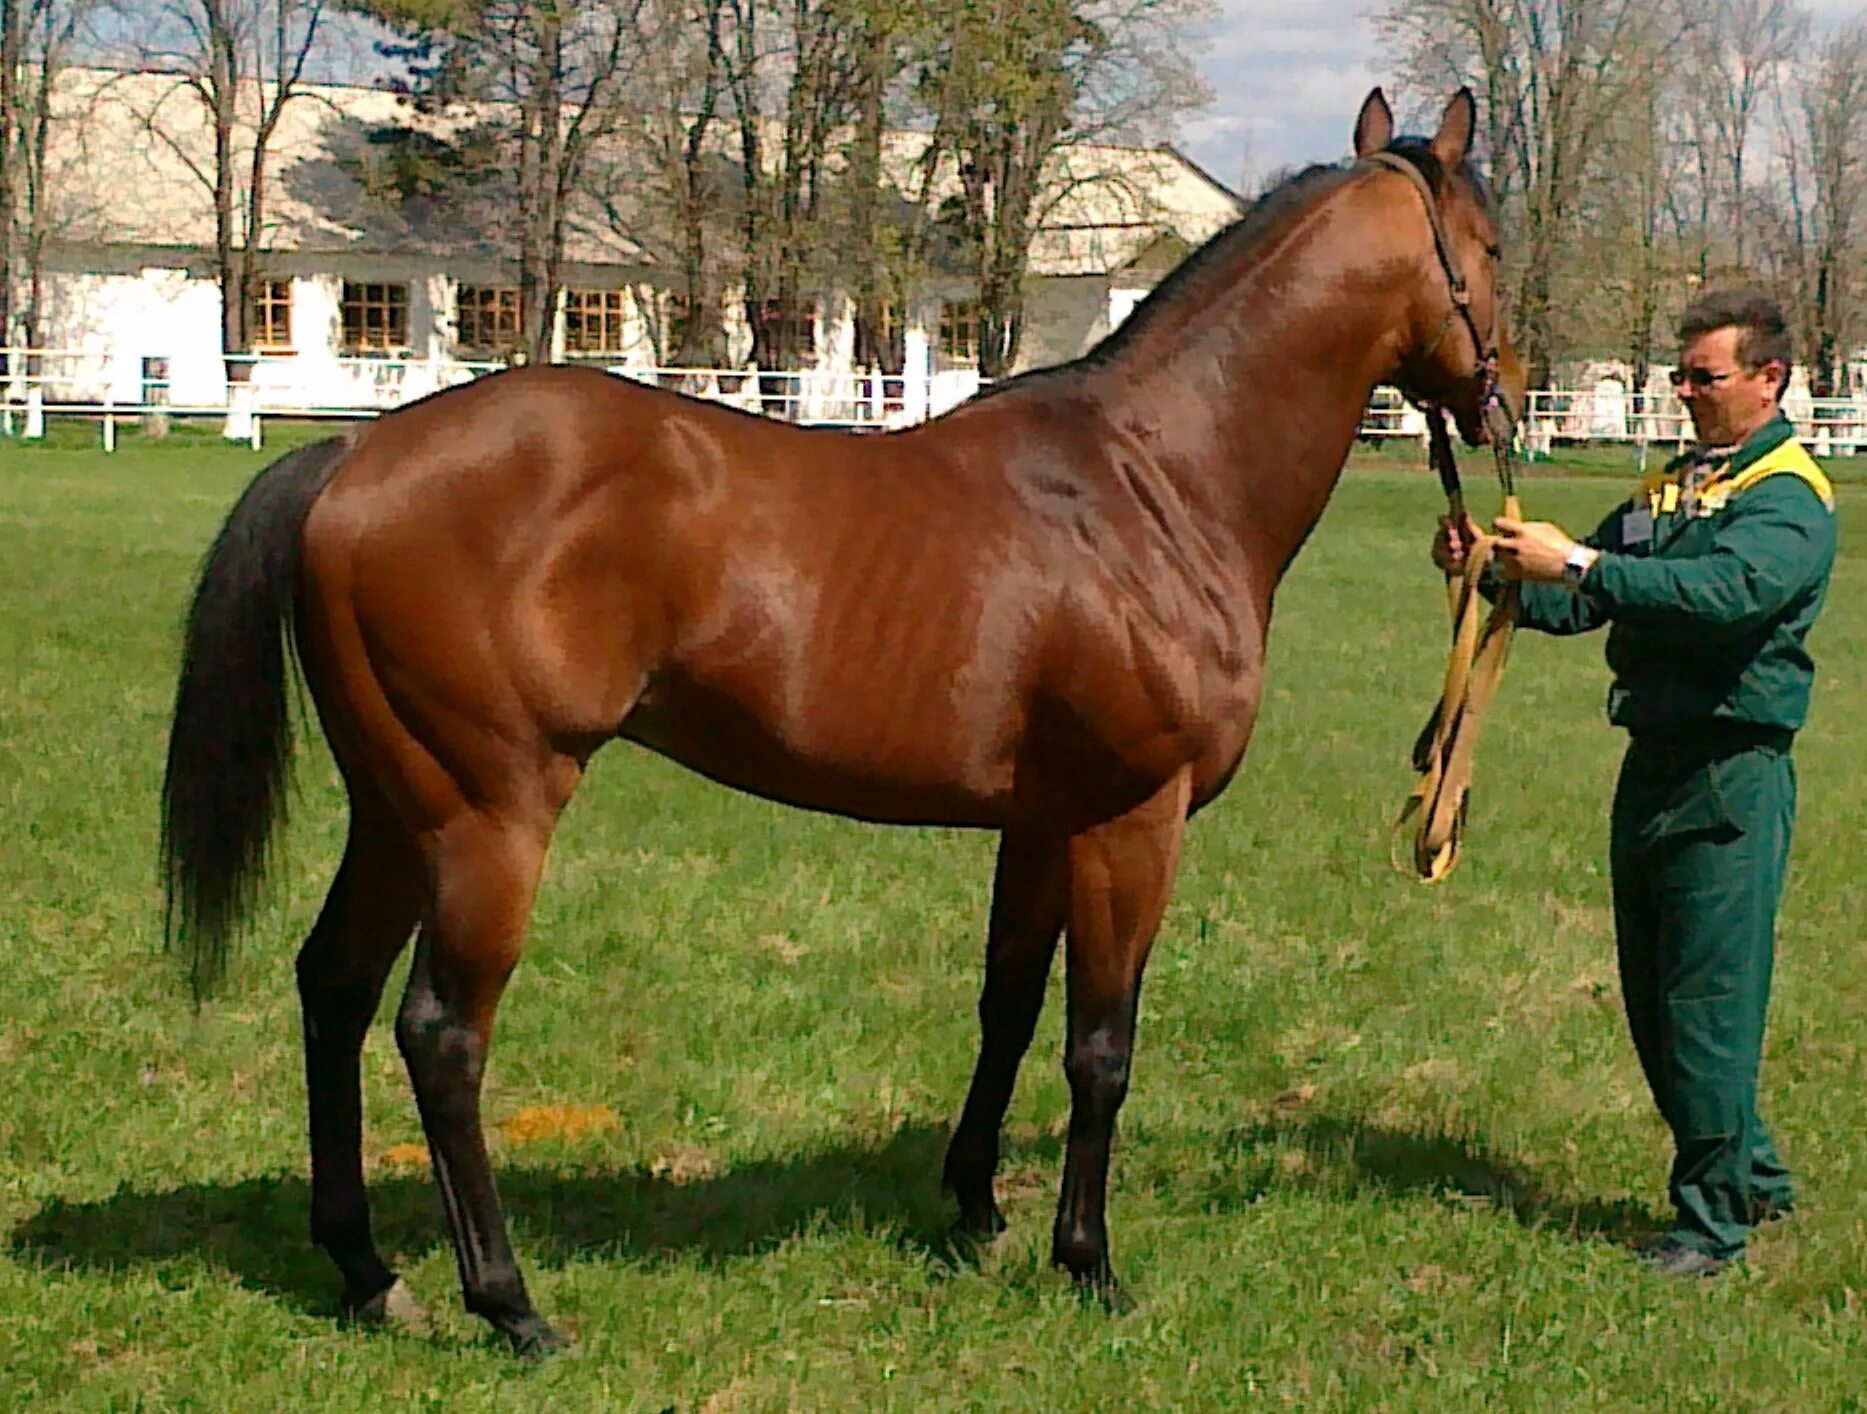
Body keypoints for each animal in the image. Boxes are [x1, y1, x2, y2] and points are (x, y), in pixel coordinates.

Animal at [164, 88, 1516, 1344]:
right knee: (441, 1034)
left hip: (397, 809)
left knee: (333, 988)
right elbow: (1100, 1045)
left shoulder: (1042, 823)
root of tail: (350, 460)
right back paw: (508, 1303)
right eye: (1492, 244)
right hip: (486, 817)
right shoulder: (1131, 822)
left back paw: (366, 1271)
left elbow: (1007, 1009)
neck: (1154, 483)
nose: (1502, 408)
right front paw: (1087, 1260)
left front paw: (974, 1208)